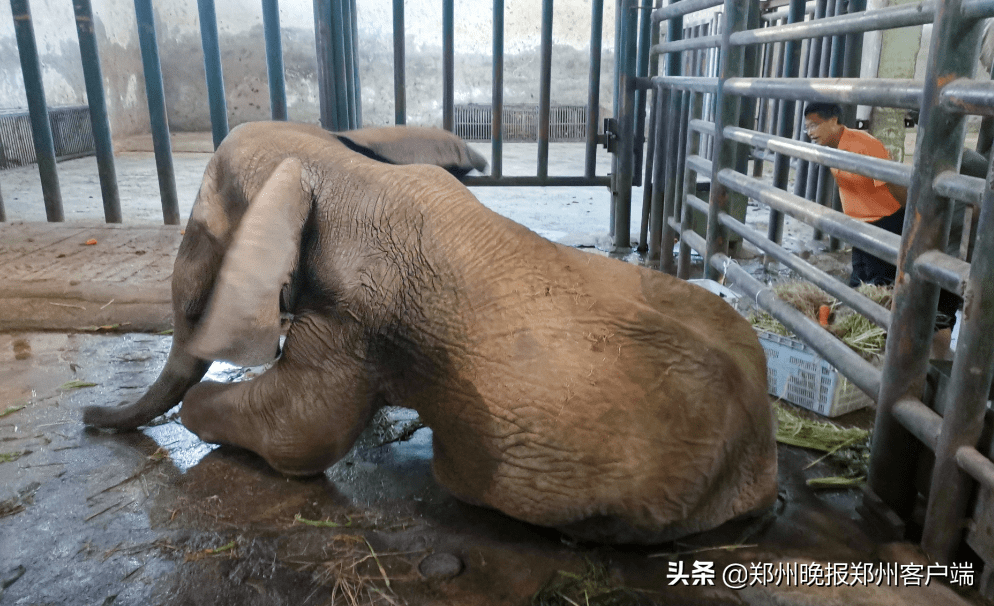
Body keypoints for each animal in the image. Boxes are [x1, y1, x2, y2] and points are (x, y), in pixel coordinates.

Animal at [83, 121, 777, 544]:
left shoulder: (353, 319)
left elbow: (302, 434)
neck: (334, 160)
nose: (89, 418)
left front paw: (198, 411)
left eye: (199, 240)